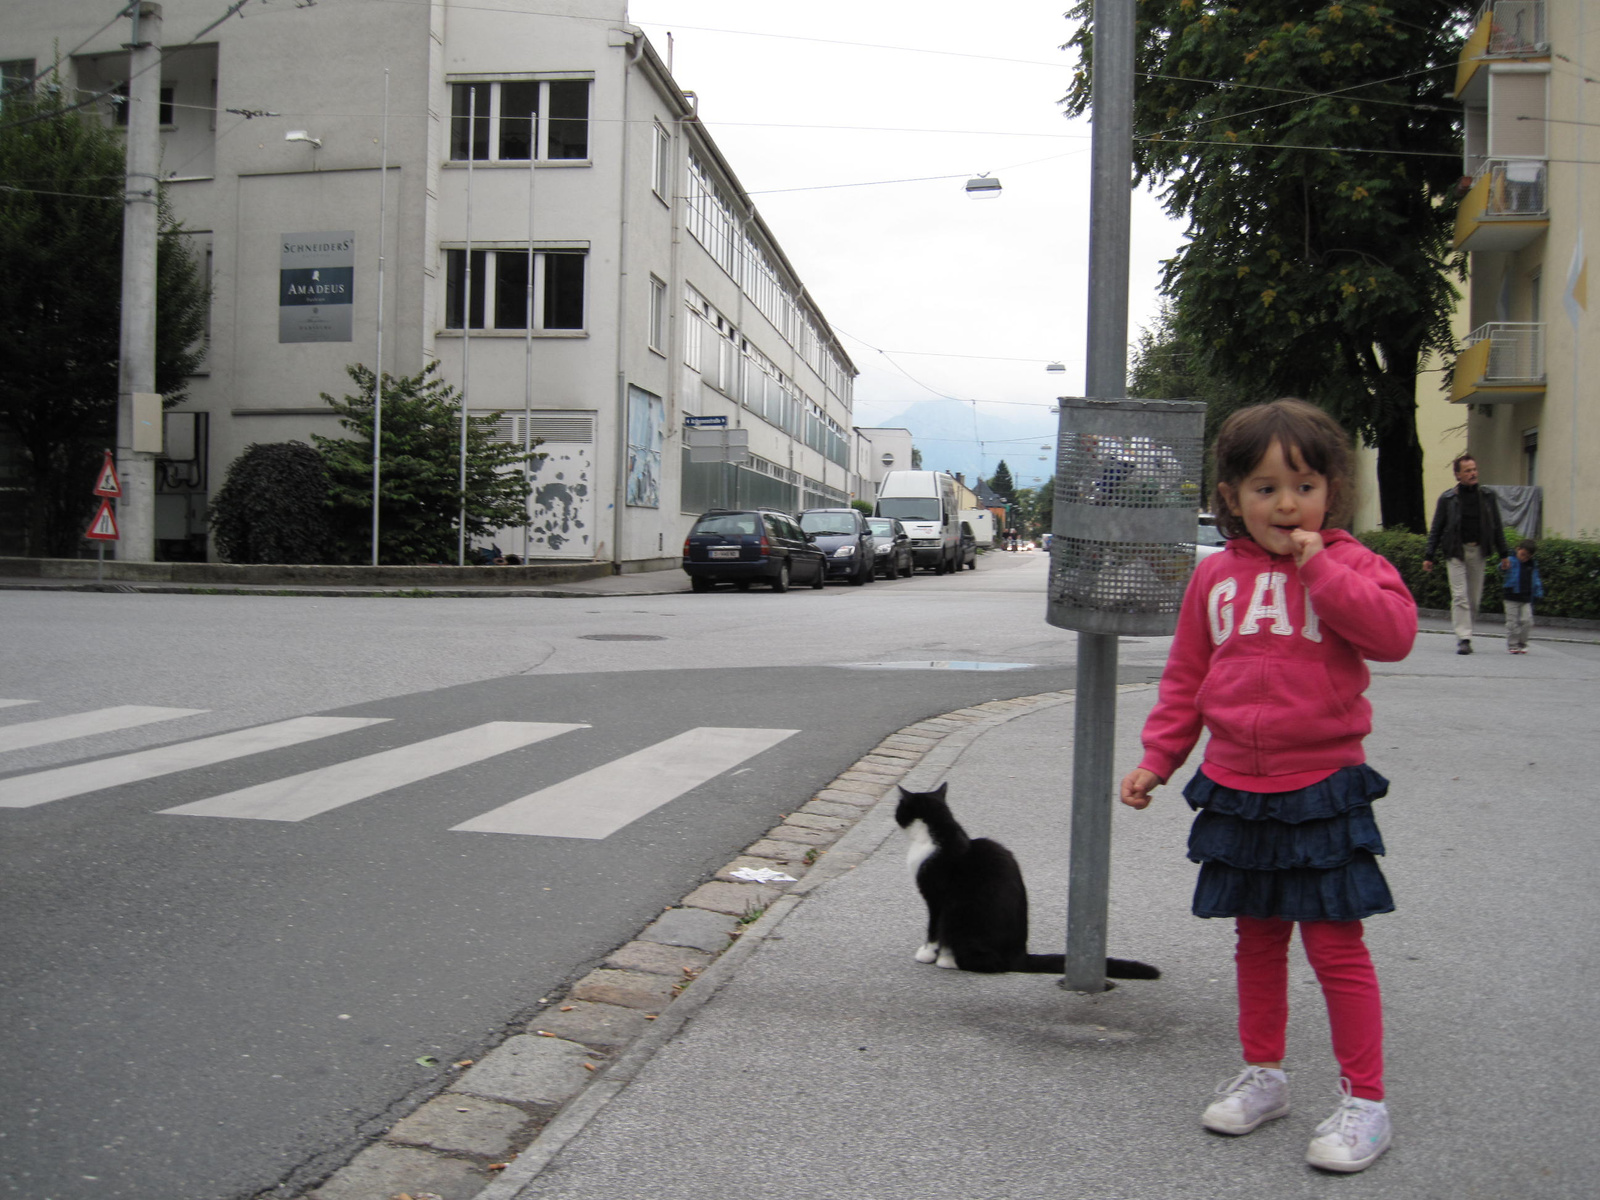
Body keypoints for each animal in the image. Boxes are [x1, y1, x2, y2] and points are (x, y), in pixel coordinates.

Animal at [896, 784, 1158, 979]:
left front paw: (927, 953)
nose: (895, 816)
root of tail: (1019, 954)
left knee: (992, 964)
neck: (937, 832)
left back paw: (949, 961)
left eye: (898, 809)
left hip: (960, 916)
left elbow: (933, 929)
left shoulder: (936, 898)